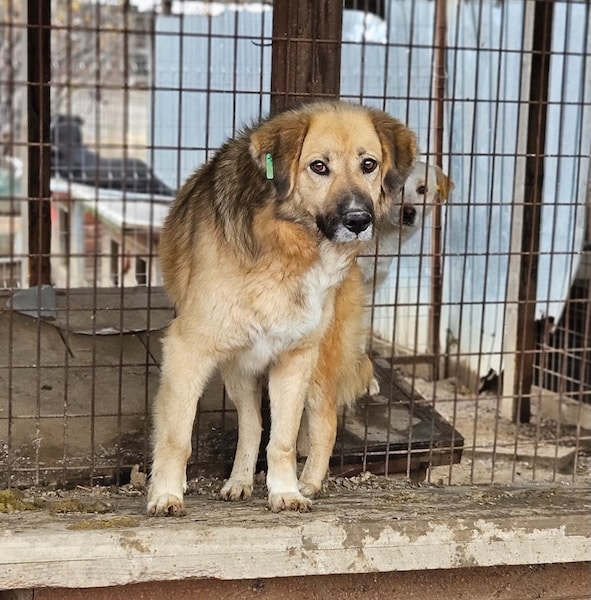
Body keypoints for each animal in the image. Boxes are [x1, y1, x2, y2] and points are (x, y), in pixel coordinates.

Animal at [147, 101, 417, 516]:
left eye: (368, 164)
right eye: (318, 166)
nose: (358, 220)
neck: (288, 245)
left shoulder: (296, 357)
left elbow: (285, 440)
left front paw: (286, 491)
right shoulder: (188, 350)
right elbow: (178, 436)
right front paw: (166, 494)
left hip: (320, 361)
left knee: (325, 421)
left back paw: (309, 482)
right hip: (237, 367)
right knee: (252, 424)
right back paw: (240, 481)